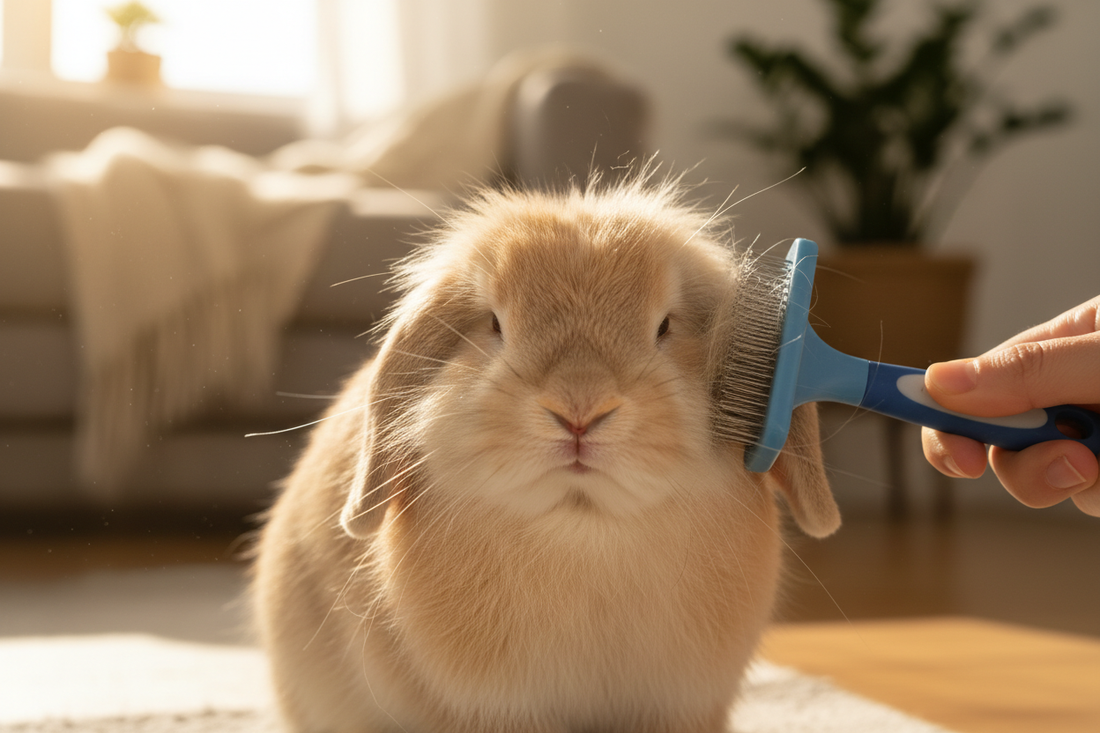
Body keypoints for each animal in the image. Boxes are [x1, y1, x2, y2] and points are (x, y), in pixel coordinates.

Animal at [251, 175, 840, 733]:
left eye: (665, 327)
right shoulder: (493, 707)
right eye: (494, 324)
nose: (579, 410)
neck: (582, 527)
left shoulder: (680, 705)